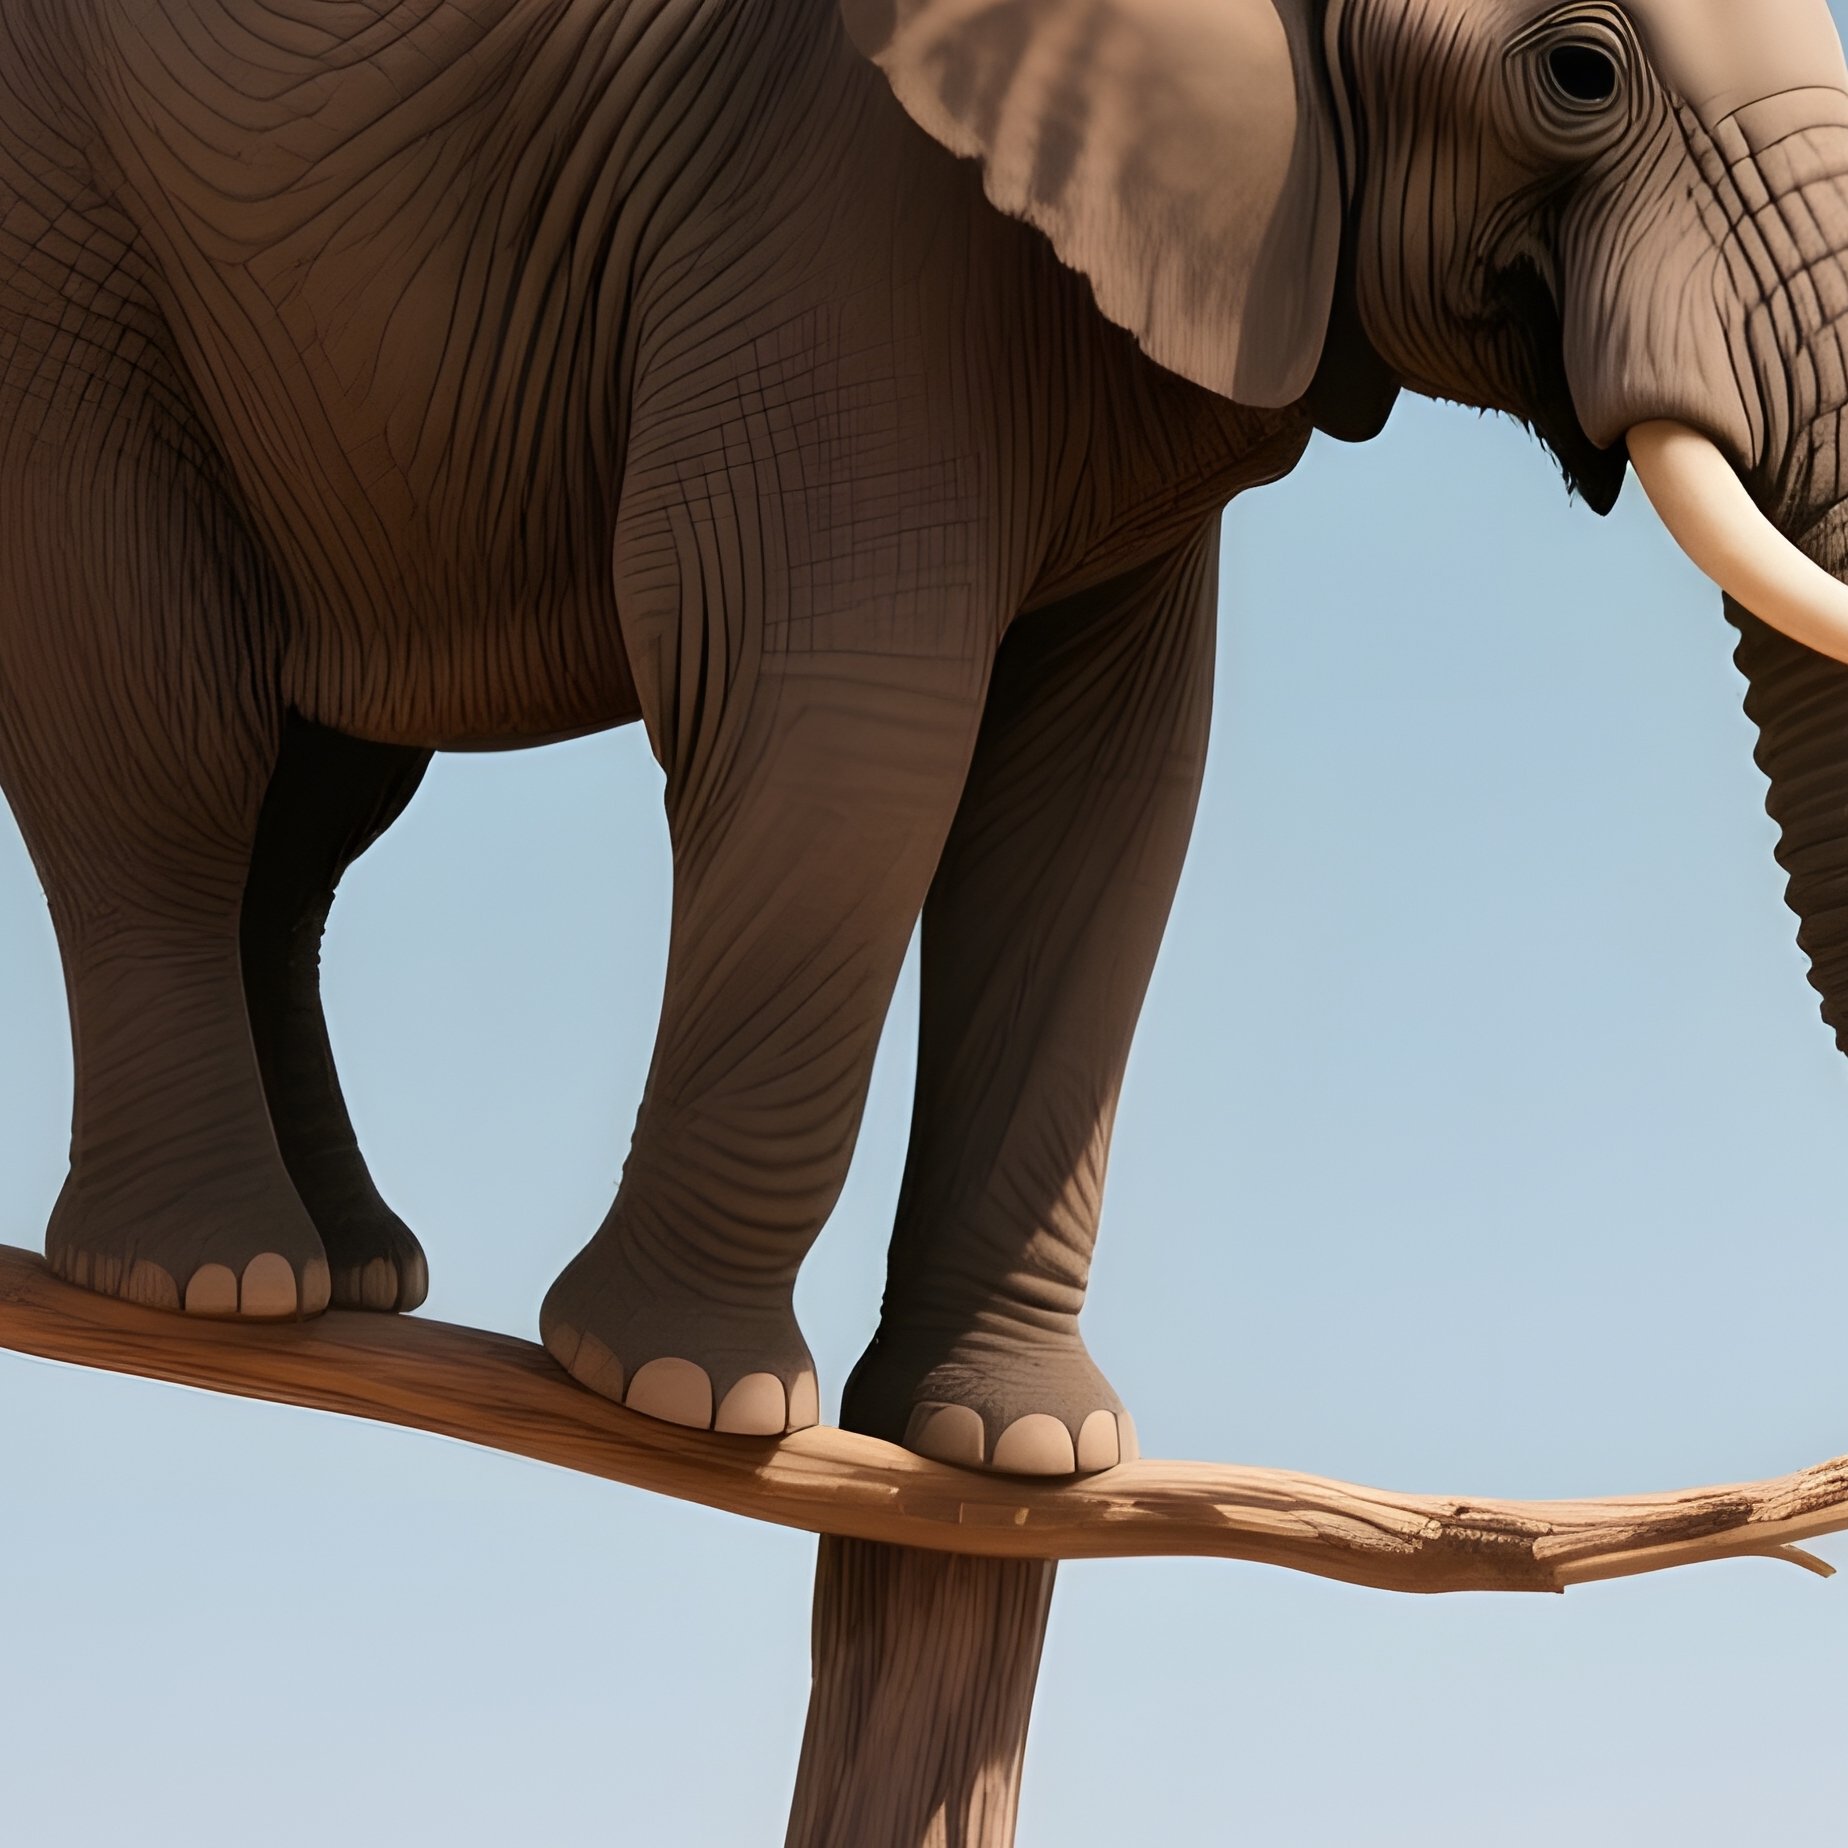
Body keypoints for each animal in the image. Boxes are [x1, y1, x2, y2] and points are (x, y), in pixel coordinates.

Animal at [5, 0, 1848, 1479]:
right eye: (1578, 72)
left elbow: (1098, 800)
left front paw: (1018, 1449)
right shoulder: (825, 208)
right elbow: (844, 722)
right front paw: (674, 1393)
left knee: (309, 814)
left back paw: (357, 1278)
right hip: (67, 260)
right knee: (164, 738)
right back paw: (213, 1280)